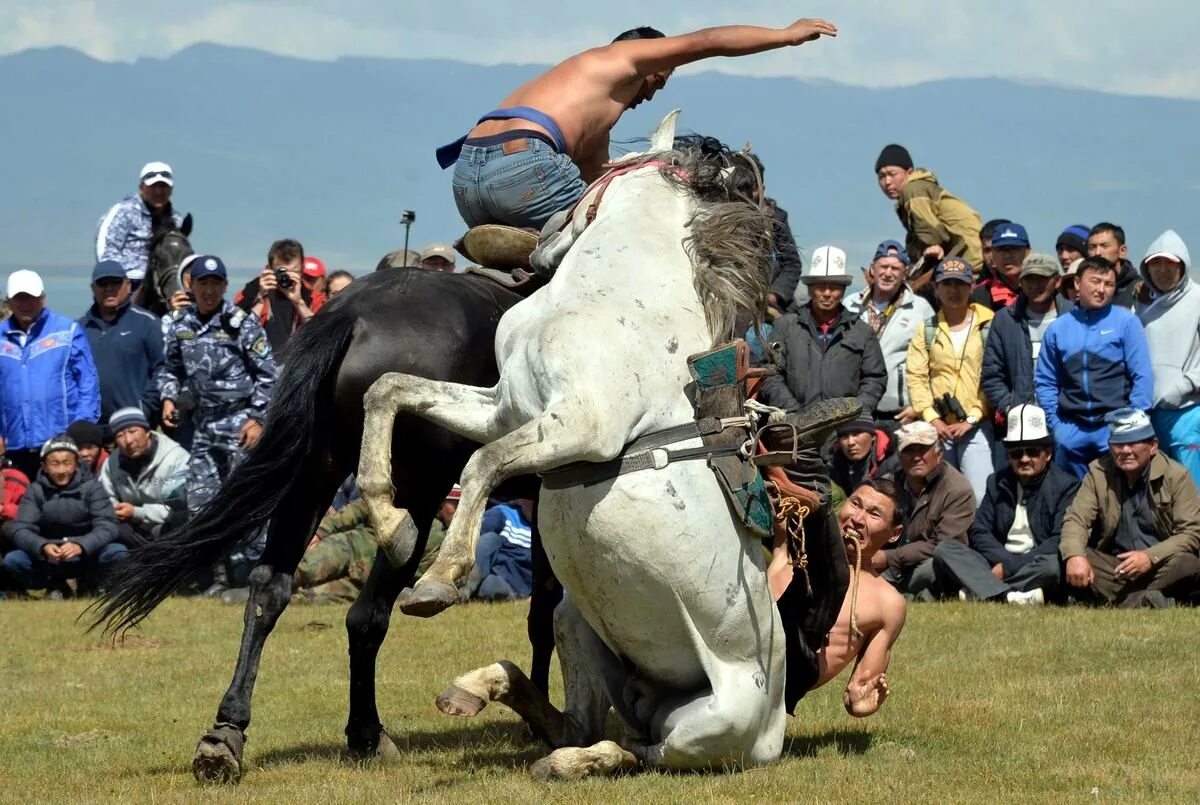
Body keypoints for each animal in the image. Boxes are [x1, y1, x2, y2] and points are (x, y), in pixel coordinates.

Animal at [355, 111, 796, 772]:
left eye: (589, 180)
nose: (537, 242)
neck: (616, 291)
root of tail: (774, 732)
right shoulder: (505, 407)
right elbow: (388, 390)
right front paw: (393, 523)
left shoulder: (583, 423)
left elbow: (483, 463)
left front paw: (436, 580)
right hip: (579, 624)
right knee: (578, 720)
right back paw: (482, 690)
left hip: (708, 726)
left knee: (634, 750)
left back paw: (570, 757)